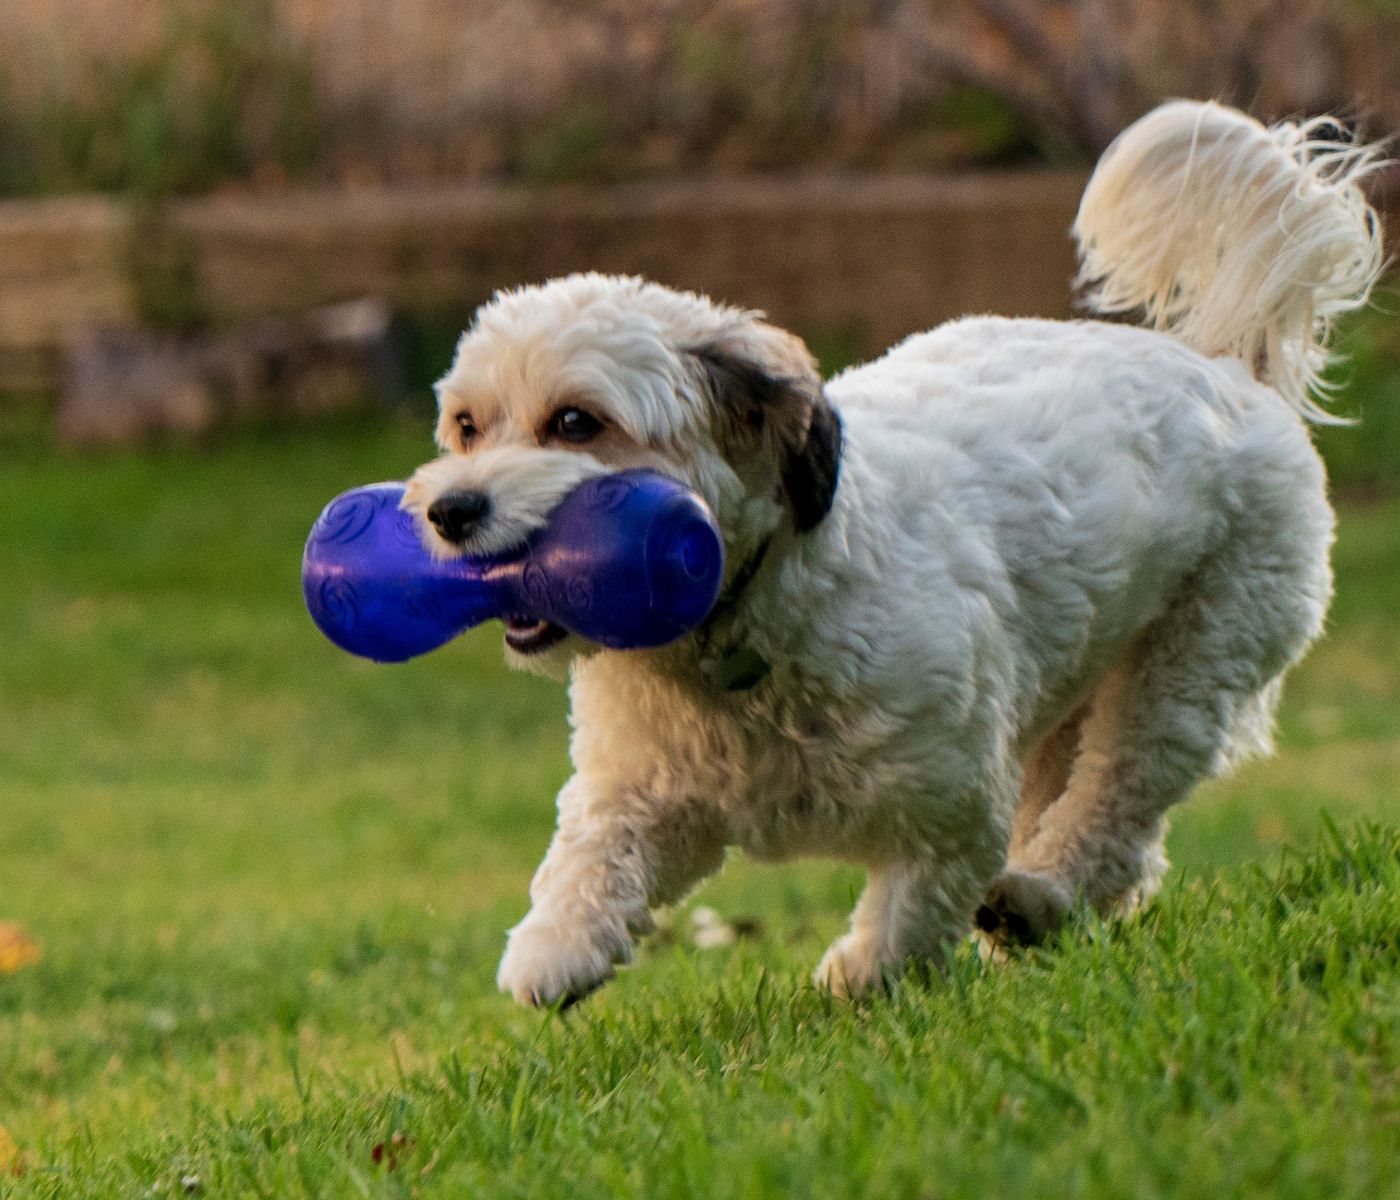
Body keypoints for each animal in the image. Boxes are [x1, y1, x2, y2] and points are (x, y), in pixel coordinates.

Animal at [400, 100, 1383, 1002]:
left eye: (576, 422)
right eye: (467, 426)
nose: (449, 510)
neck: (744, 623)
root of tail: (1223, 367)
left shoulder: (953, 800)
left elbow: (914, 906)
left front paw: (862, 978)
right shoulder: (647, 789)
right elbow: (597, 850)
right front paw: (556, 948)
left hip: (1193, 661)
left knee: (1117, 801)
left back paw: (1039, 897)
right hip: (1065, 690)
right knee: (1117, 840)